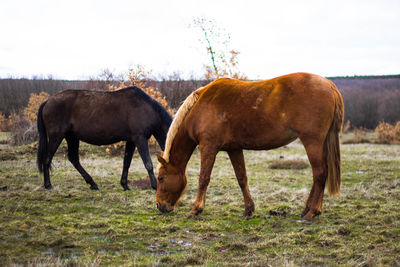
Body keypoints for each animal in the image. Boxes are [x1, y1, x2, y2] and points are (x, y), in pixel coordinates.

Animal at [38, 87, 173, 192]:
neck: (146, 109)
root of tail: (47, 101)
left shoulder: (131, 141)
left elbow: (126, 163)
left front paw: (125, 185)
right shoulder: (139, 139)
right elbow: (148, 163)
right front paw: (155, 186)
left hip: (72, 137)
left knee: (74, 159)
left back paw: (93, 184)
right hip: (57, 136)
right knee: (47, 158)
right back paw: (48, 185)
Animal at [155, 72, 342, 221]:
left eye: (161, 178)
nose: (159, 206)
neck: (200, 107)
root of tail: (330, 86)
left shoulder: (208, 147)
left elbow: (204, 178)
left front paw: (196, 209)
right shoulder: (234, 149)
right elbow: (241, 178)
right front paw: (248, 210)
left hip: (312, 142)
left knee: (320, 173)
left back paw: (312, 212)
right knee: (318, 174)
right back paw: (307, 210)